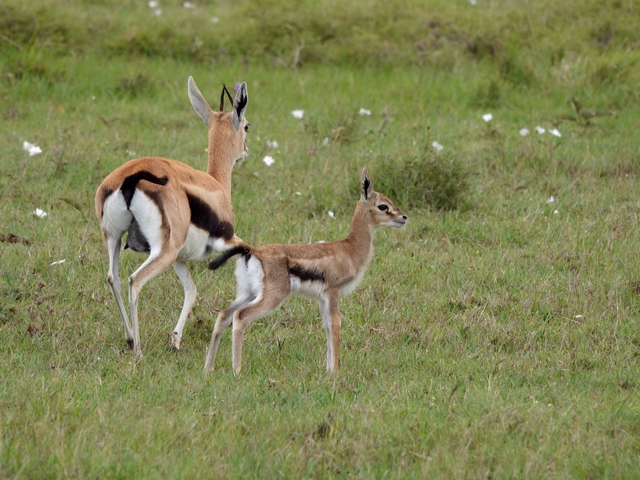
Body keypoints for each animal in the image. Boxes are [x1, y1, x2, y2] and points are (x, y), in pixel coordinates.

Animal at [94, 77, 249, 356]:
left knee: (114, 278)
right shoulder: (230, 241)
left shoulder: (180, 258)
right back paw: (138, 351)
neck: (216, 185)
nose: (246, 151)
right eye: (247, 126)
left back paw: (130, 338)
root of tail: (131, 177)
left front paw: (176, 339)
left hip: (114, 238)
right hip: (163, 252)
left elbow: (191, 290)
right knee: (135, 281)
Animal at [204, 168, 407, 374]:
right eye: (383, 206)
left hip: (248, 292)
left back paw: (208, 368)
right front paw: (335, 372)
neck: (349, 250)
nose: (403, 217)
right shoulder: (333, 293)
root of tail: (252, 251)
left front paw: (328, 370)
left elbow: (326, 326)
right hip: (273, 296)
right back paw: (237, 370)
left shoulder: (322, 298)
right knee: (240, 316)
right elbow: (335, 324)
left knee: (224, 315)